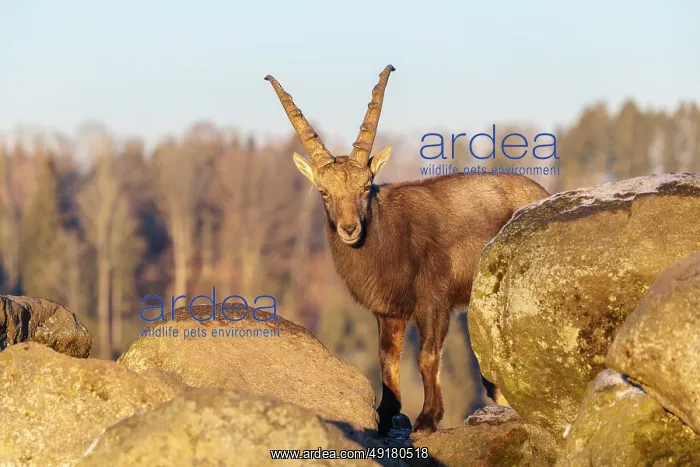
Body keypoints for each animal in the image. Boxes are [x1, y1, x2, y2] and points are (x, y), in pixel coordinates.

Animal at [264, 65, 550, 439]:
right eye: (324, 192)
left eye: (365, 186)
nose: (350, 228)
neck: (388, 239)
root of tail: (543, 192)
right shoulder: (389, 311)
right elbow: (387, 359)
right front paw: (385, 415)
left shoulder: (434, 301)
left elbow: (426, 357)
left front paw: (427, 419)